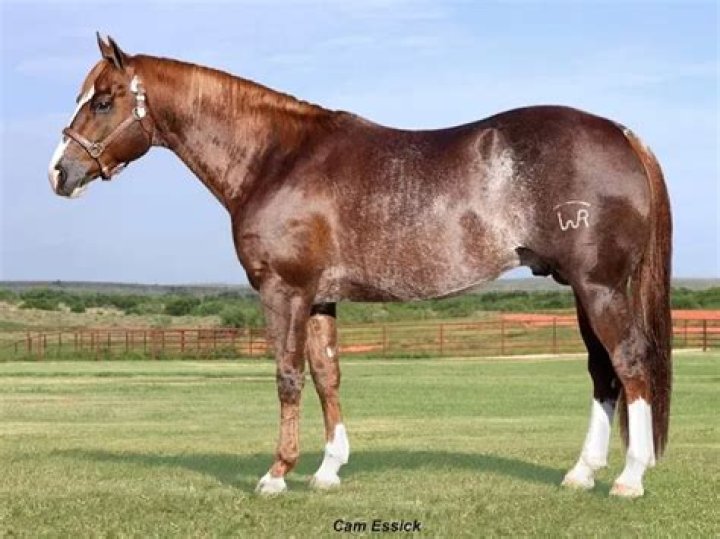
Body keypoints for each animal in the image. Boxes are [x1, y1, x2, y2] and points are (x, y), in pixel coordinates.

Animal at [48, 35, 672, 498]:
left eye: (103, 100)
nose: (59, 172)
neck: (277, 157)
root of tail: (621, 134)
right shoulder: (320, 296)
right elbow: (327, 375)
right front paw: (328, 470)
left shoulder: (284, 291)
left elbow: (288, 376)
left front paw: (276, 474)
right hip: (583, 289)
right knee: (603, 373)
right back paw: (581, 474)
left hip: (600, 287)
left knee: (630, 363)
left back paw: (630, 477)